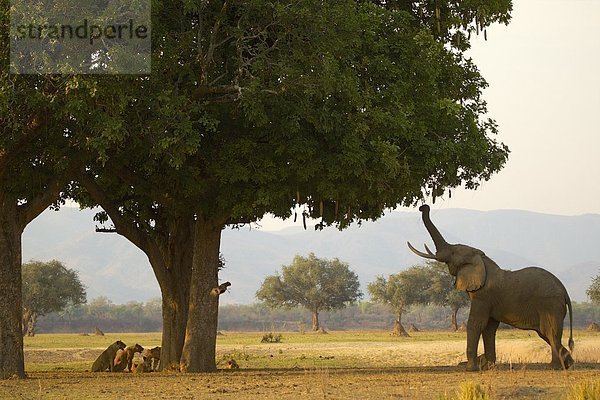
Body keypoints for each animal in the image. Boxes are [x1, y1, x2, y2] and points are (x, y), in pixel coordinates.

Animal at [408, 206, 572, 372]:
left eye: (454, 252)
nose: (423, 207)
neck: (482, 260)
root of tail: (565, 292)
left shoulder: (483, 296)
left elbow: (476, 323)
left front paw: (471, 369)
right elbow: (489, 328)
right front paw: (489, 366)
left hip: (549, 305)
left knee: (549, 332)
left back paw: (555, 367)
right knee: (546, 334)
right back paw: (568, 363)